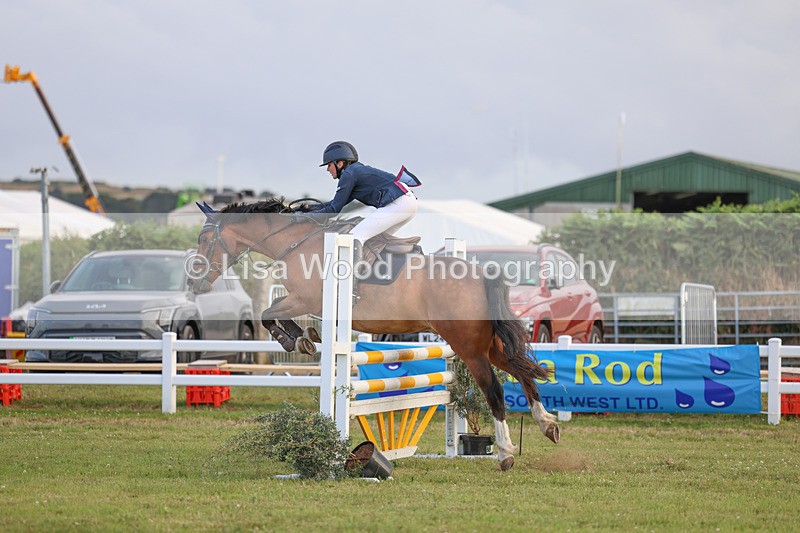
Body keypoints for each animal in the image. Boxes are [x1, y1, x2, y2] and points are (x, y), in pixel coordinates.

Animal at [187, 198, 560, 470]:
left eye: (203, 239)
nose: (195, 283)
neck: (296, 243)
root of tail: (483, 274)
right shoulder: (302, 301)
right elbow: (274, 311)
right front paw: (303, 336)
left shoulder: (305, 299)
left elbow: (268, 313)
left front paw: (295, 338)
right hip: (488, 345)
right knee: (522, 371)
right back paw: (547, 424)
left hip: (468, 347)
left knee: (495, 390)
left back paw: (506, 453)